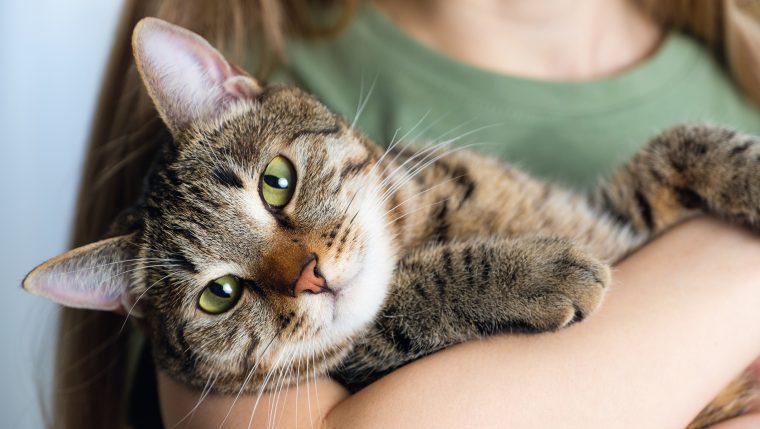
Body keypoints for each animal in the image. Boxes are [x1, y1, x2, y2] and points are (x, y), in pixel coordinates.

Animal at [25, 17, 760, 428]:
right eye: (219, 295)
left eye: (276, 182)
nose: (312, 275)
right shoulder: (360, 363)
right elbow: (407, 299)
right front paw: (535, 270)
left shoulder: (623, 210)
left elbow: (682, 143)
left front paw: (747, 170)